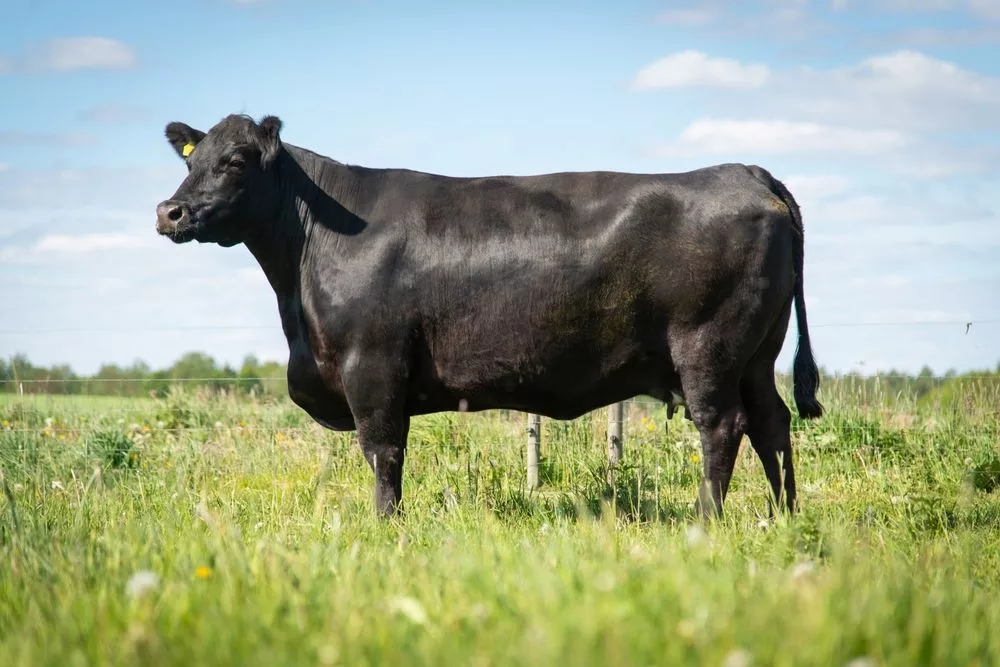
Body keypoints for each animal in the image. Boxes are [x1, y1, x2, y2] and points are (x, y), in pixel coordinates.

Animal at [154, 113, 823, 521]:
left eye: (237, 160)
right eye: (190, 160)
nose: (170, 212)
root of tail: (743, 172)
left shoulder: (372, 365)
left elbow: (383, 451)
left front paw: (385, 526)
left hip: (708, 347)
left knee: (723, 426)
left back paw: (706, 521)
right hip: (756, 353)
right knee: (772, 422)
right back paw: (783, 516)